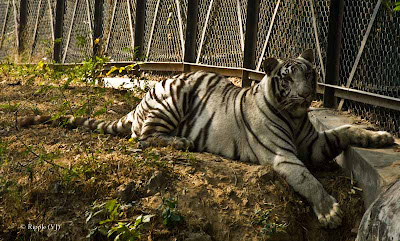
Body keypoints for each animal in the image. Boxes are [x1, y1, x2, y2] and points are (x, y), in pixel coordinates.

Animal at [18, 49, 394, 228]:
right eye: (288, 77)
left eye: (311, 73)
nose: (304, 96)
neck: (295, 114)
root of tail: (138, 104)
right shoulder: (284, 156)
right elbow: (307, 179)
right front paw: (329, 212)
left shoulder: (314, 144)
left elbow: (346, 132)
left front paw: (382, 136)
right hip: (172, 97)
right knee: (142, 138)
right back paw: (181, 142)